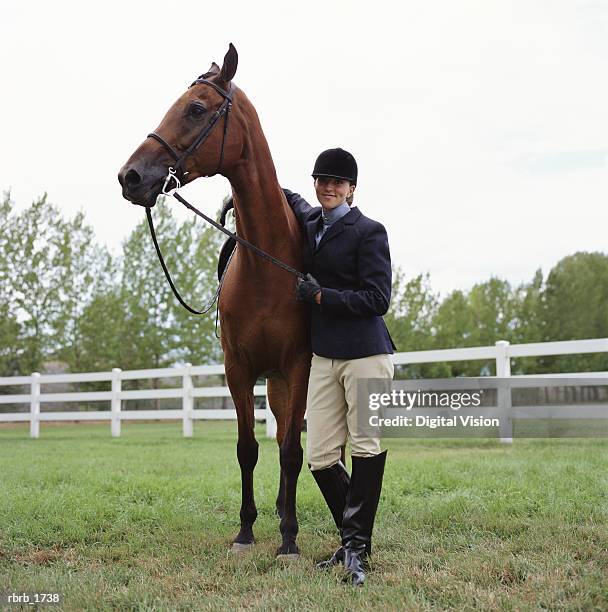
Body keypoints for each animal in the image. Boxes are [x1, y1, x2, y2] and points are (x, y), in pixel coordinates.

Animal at [118, 45, 312, 556]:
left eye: (196, 109)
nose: (130, 176)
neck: (268, 264)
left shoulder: (298, 366)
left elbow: (291, 450)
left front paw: (288, 539)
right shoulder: (237, 369)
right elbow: (248, 450)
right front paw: (245, 531)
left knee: (292, 441)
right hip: (273, 383)